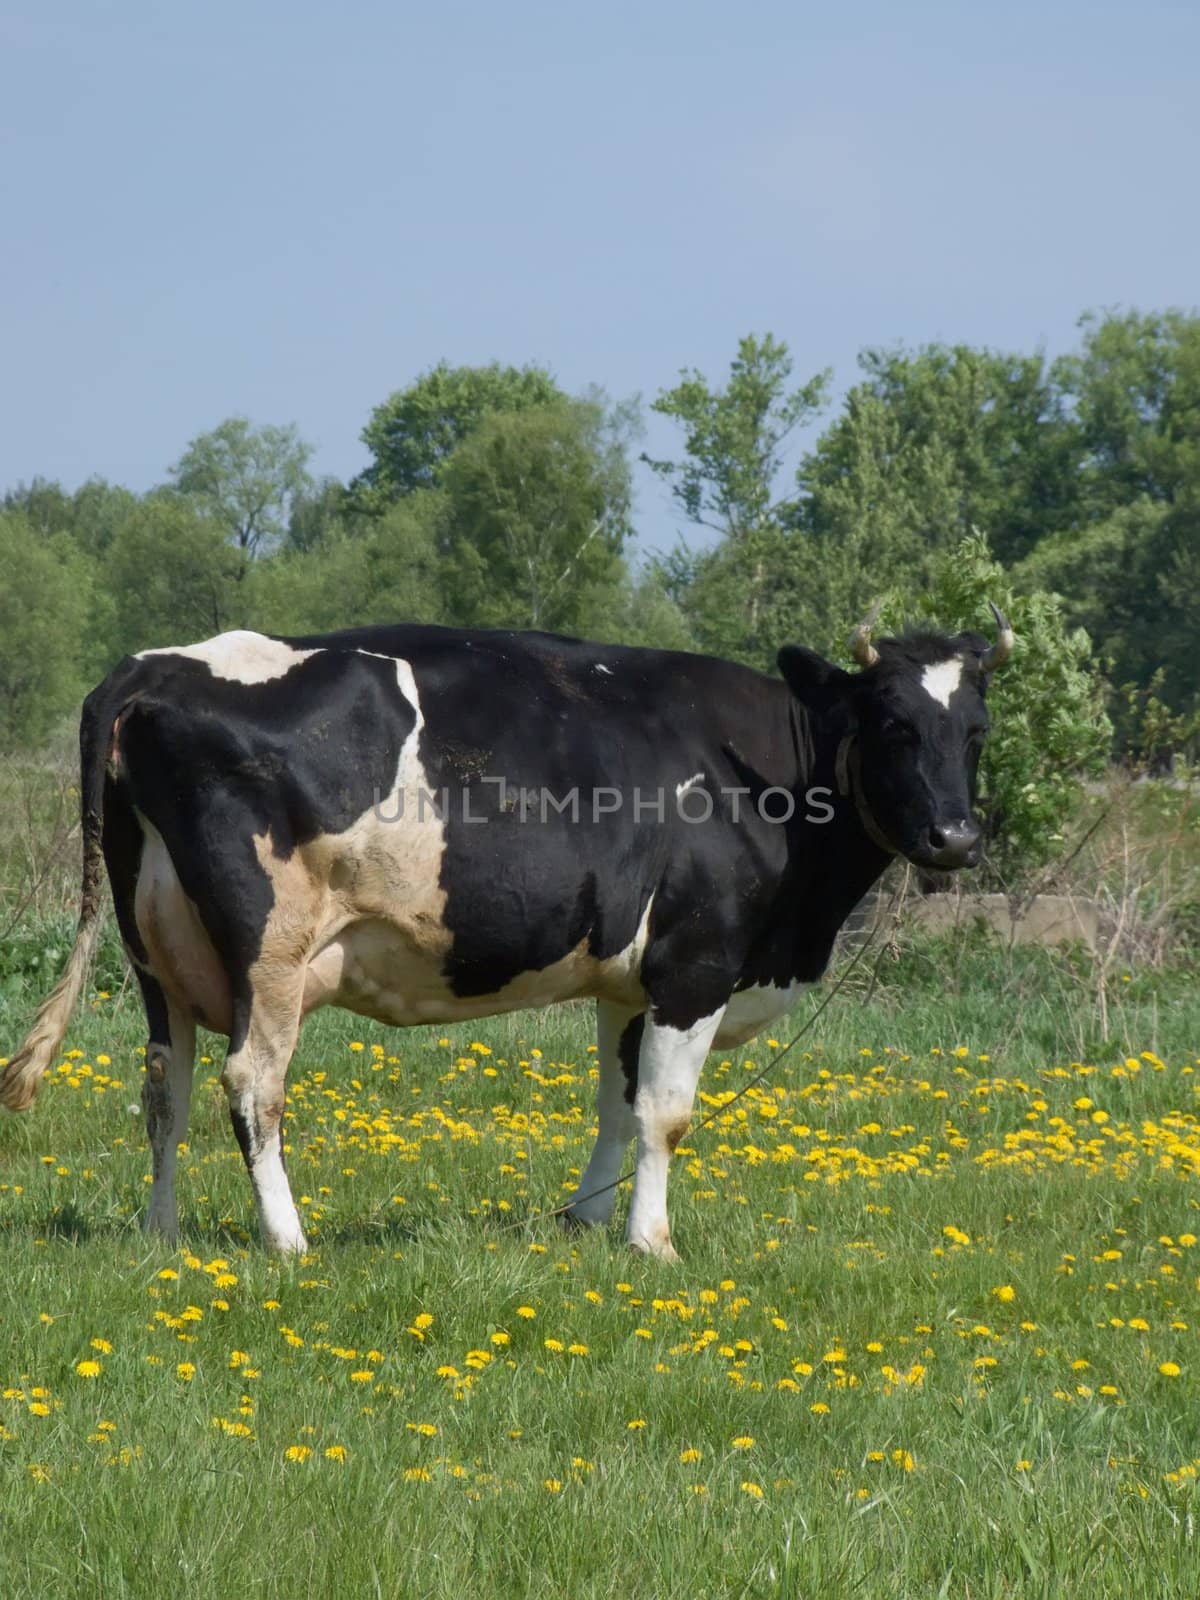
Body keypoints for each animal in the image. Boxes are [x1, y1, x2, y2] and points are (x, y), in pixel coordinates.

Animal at [0, 604, 1017, 1254]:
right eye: (890, 723)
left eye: (976, 730)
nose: (956, 837)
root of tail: (157, 664)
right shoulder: (696, 964)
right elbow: (667, 1113)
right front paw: (652, 1242)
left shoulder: (627, 980)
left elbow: (617, 1102)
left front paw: (587, 1222)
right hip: (269, 951)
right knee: (252, 1085)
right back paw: (288, 1241)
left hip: (155, 951)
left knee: (162, 1086)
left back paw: (161, 1233)